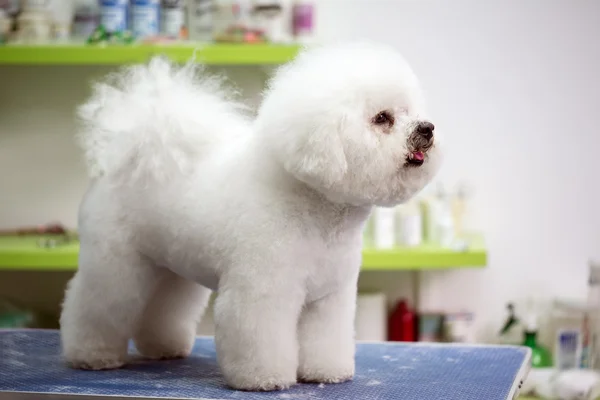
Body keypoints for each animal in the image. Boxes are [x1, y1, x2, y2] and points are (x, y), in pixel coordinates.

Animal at [61, 40, 442, 390]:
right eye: (382, 118)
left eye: (410, 111)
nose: (427, 128)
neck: (316, 210)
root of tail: (126, 158)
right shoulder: (263, 291)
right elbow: (261, 338)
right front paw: (265, 379)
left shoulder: (329, 298)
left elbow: (325, 339)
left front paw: (327, 372)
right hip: (116, 263)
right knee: (93, 304)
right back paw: (92, 355)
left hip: (169, 268)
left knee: (162, 308)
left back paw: (163, 348)